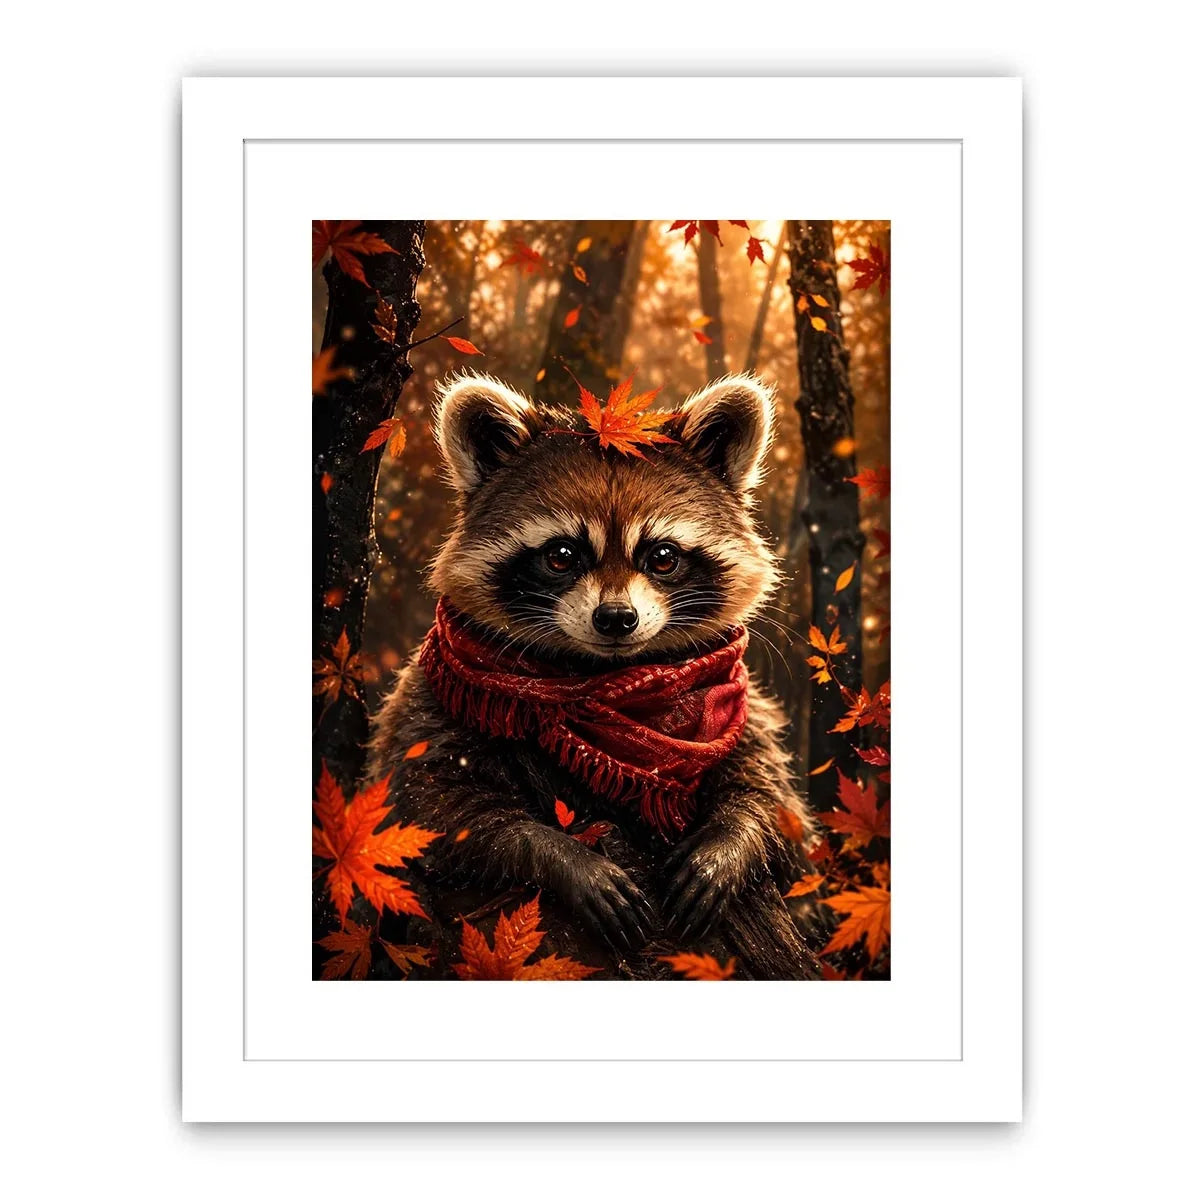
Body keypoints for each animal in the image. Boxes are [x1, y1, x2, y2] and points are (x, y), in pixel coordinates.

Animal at [368, 371, 822, 979]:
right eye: (562, 555)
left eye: (662, 557)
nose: (616, 618)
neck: (606, 680)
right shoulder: (432, 700)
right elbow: (424, 804)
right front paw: (559, 856)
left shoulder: (738, 708)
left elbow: (775, 801)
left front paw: (731, 840)